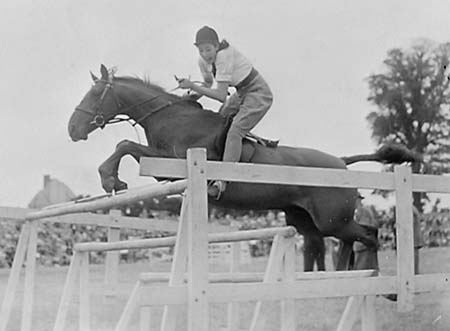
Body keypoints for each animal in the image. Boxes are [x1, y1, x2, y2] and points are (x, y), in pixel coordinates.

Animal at [68, 65, 420, 272]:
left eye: (95, 94)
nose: (72, 128)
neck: (171, 117)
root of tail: (341, 163)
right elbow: (126, 145)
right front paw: (112, 180)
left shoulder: (173, 167)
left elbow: (125, 144)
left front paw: (110, 179)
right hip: (307, 222)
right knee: (340, 241)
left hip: (332, 220)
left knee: (368, 235)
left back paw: (379, 282)